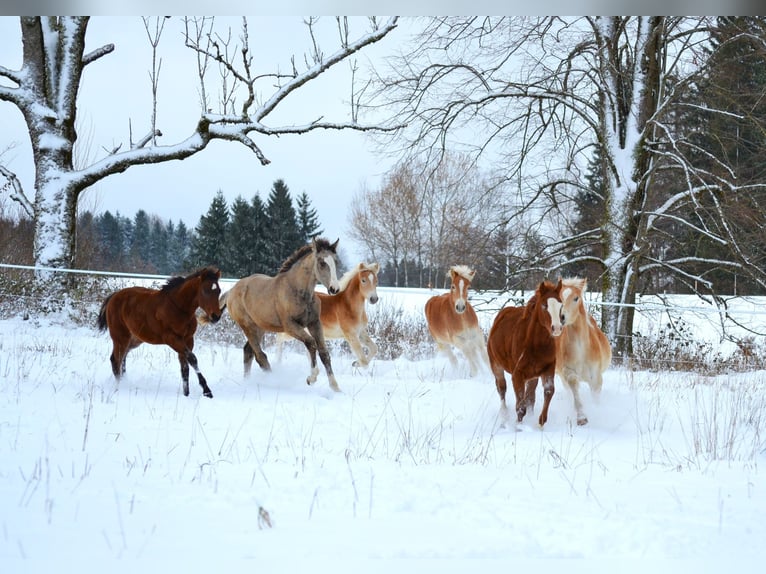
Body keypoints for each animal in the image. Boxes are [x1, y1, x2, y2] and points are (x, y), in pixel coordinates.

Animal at [97, 266, 224, 398]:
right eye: (205, 291)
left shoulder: (188, 339)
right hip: (120, 338)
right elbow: (193, 359)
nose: (216, 316)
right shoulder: (172, 339)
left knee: (122, 357)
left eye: (219, 291)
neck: (179, 308)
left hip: (134, 340)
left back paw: (123, 381)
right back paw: (119, 387)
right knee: (115, 359)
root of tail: (114, 296)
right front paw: (207, 391)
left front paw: (186, 394)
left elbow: (185, 368)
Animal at [220, 237, 344, 392]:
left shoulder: (314, 323)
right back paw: (273, 381)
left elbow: (324, 352)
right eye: (322, 263)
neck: (297, 291)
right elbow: (311, 343)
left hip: (259, 328)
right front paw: (311, 378)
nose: (334, 289)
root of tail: (230, 291)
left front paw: (336, 387)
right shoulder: (290, 326)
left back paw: (247, 382)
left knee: (248, 352)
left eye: (336, 262)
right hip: (248, 327)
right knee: (260, 356)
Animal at [488, 280, 568, 428]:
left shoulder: (548, 369)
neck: (534, 344)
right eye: (544, 305)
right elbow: (520, 405)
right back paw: (504, 416)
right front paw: (518, 426)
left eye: (561, 305)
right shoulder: (517, 375)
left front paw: (541, 422)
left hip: (532, 377)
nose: (557, 328)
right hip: (496, 365)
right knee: (501, 388)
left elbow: (548, 391)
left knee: (530, 397)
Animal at [560, 280, 612, 428]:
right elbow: (575, 391)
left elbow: (595, 397)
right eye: (559, 297)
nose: (562, 317)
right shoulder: (569, 372)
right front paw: (582, 418)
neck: (581, 349)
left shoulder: (596, 377)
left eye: (576, 298)